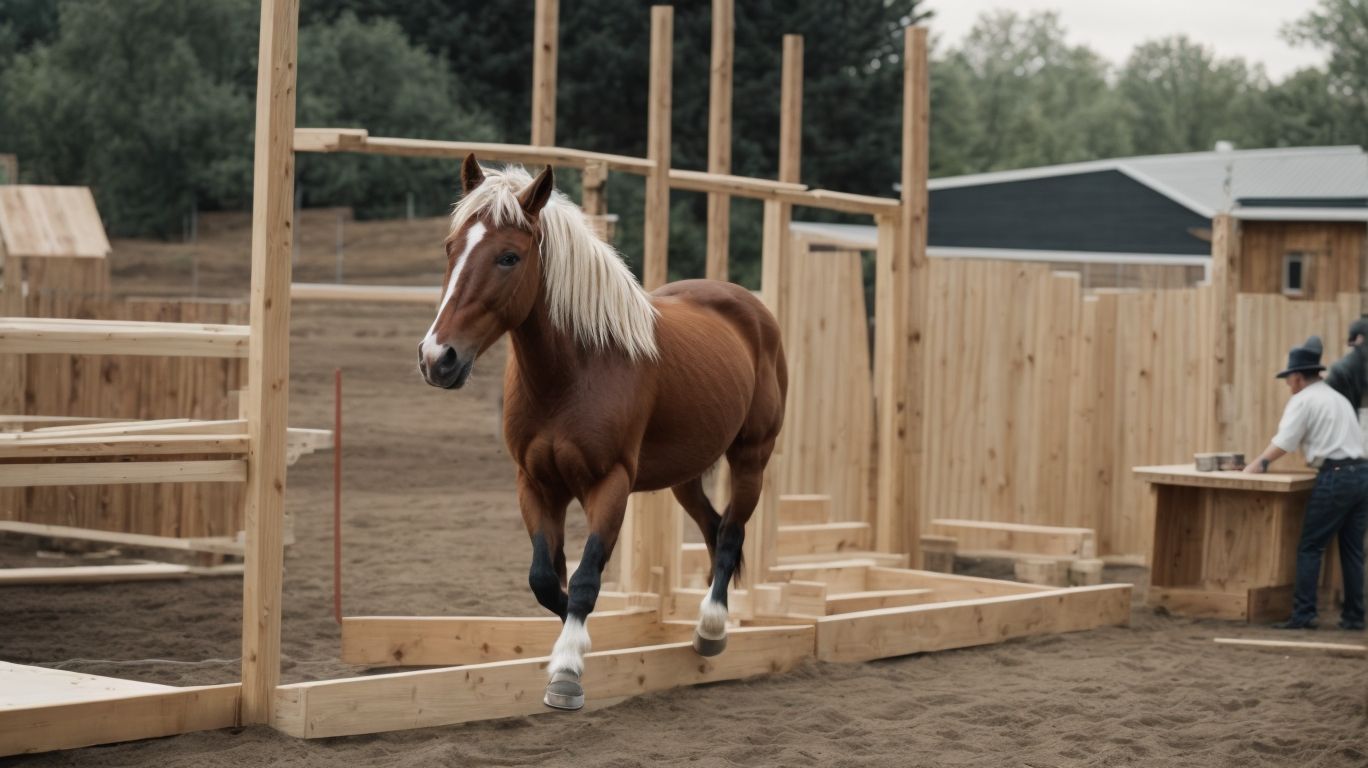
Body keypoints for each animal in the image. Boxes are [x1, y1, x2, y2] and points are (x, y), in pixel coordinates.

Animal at [418, 154, 787, 710]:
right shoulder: (536, 483)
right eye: (450, 247)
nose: (438, 358)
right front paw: (575, 641)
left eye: (508, 257)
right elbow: (547, 577)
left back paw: (711, 628)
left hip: (751, 458)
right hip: (685, 475)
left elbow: (588, 575)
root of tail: (748, 305)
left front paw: (568, 670)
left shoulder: (609, 483)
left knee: (729, 535)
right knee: (712, 526)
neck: (575, 372)